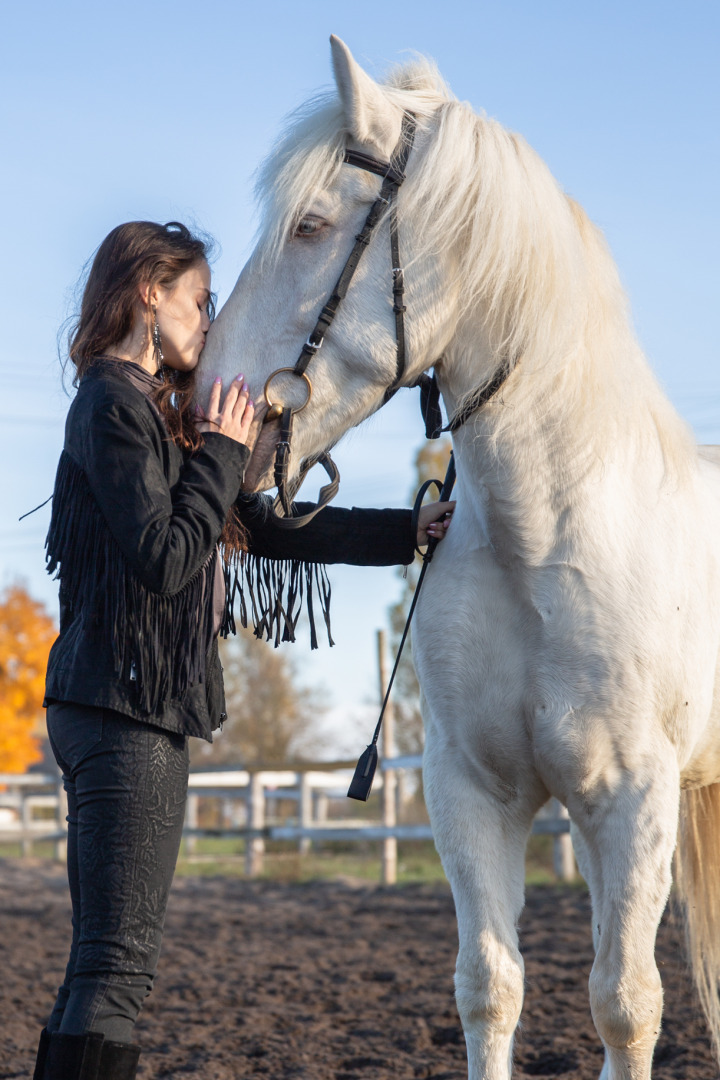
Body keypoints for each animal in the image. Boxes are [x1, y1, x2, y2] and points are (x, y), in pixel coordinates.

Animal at [201, 35, 720, 1080]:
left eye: (311, 225)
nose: (197, 393)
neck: (548, 544)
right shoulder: (473, 792)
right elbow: (491, 986)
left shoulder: (632, 800)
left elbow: (625, 1004)